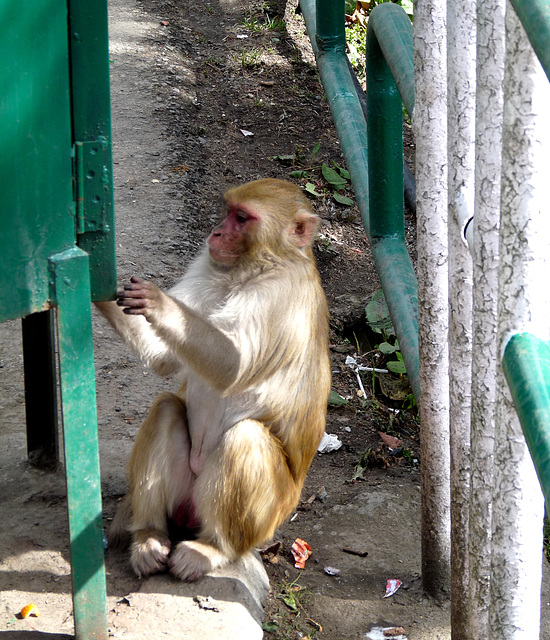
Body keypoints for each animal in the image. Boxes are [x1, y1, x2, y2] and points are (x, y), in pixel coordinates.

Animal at [96, 178, 332, 584]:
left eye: (242, 217)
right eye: (227, 211)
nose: (216, 232)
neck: (252, 270)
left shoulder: (282, 295)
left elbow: (233, 367)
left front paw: (158, 302)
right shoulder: (207, 266)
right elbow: (162, 357)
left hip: (265, 519)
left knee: (244, 438)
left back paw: (212, 549)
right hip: (185, 494)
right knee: (166, 408)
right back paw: (148, 537)